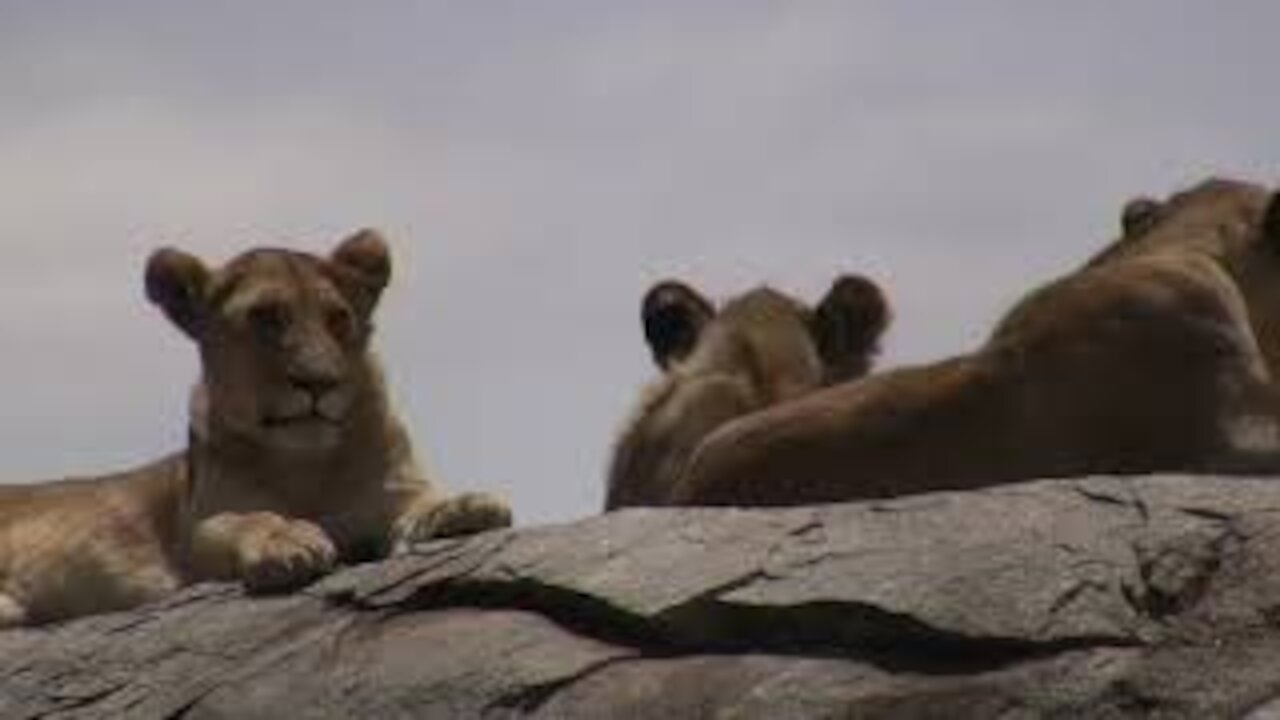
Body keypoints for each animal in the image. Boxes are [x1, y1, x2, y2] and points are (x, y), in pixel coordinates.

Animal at [0, 229, 509, 622]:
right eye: (265, 317)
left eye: (338, 318)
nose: (318, 381)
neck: (307, 465)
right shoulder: (193, 537)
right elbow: (249, 518)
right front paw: (288, 542)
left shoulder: (395, 493)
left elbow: (422, 503)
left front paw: (464, 507)